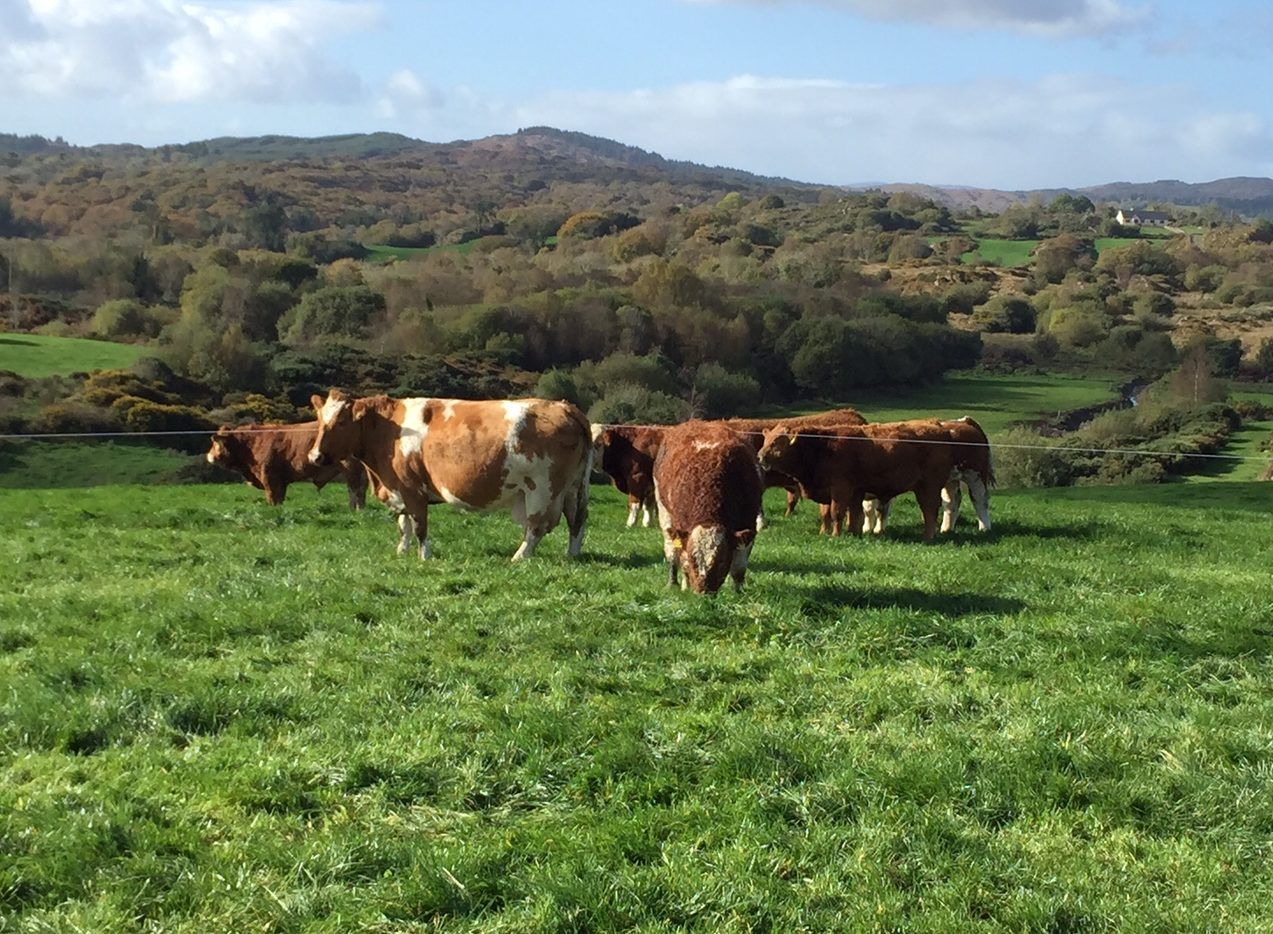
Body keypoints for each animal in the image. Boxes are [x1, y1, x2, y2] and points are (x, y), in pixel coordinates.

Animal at [206, 422, 368, 509]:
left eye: (214, 443)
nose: (208, 456)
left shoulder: (270, 477)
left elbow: (272, 497)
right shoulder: (281, 480)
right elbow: (280, 499)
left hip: (350, 467)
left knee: (355, 489)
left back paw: (355, 510)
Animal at [307, 390, 592, 561]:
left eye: (342, 422)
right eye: (320, 420)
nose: (314, 456)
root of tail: (565, 407)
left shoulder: (412, 490)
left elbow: (419, 525)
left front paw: (424, 556)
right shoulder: (398, 489)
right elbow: (404, 524)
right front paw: (402, 550)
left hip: (541, 491)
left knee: (537, 526)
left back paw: (519, 557)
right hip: (572, 489)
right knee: (576, 521)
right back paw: (572, 554)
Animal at [653, 421, 762, 594]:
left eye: (721, 561)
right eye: (694, 559)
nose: (703, 592)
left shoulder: (749, 524)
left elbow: (739, 568)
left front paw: (738, 592)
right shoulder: (681, 527)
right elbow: (683, 560)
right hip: (664, 513)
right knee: (671, 550)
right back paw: (674, 582)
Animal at [758, 419, 979, 541]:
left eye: (777, 442)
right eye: (766, 439)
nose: (760, 456)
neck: (823, 446)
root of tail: (940, 428)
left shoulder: (840, 490)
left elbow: (837, 513)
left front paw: (836, 535)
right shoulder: (841, 491)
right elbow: (836, 514)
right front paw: (838, 532)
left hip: (928, 486)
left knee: (930, 510)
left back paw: (928, 536)